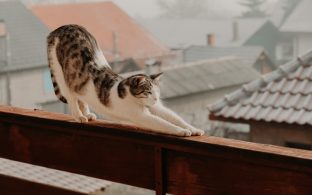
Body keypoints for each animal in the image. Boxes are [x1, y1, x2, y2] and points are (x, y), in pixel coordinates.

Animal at [45, 24, 204, 136]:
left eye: (157, 91)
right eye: (148, 91)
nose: (156, 98)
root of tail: (61, 28)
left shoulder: (157, 108)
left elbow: (175, 118)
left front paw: (193, 129)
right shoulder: (141, 116)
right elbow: (164, 124)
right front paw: (182, 131)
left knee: (80, 96)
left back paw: (87, 114)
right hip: (62, 74)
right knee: (71, 97)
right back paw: (79, 116)